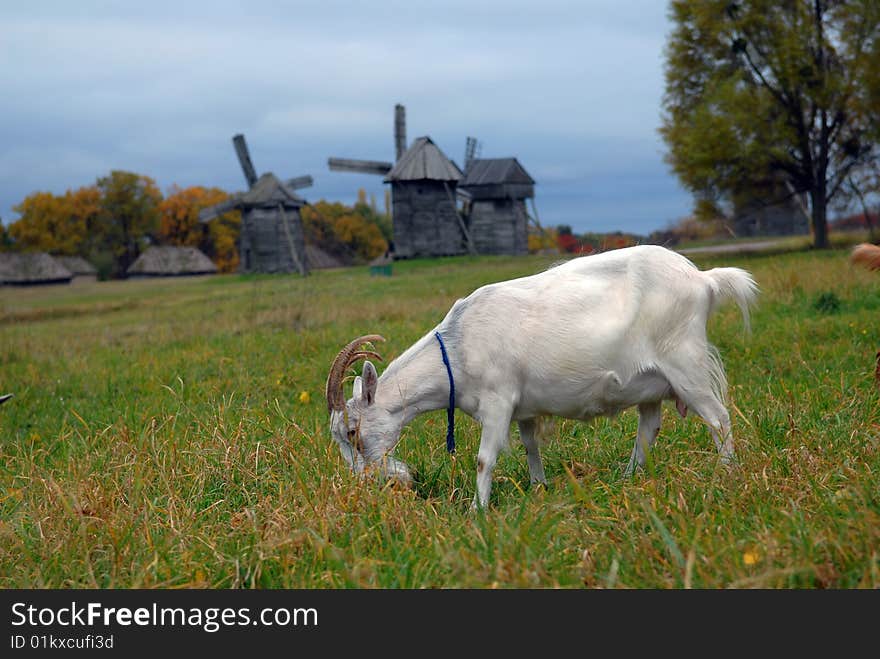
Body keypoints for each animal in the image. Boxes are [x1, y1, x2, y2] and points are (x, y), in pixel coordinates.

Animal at [324, 245, 756, 508]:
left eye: (352, 431)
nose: (365, 484)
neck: (459, 348)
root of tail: (704, 279)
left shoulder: (498, 401)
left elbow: (484, 459)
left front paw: (477, 511)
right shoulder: (525, 409)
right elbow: (531, 446)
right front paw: (538, 487)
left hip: (685, 363)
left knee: (718, 418)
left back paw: (725, 476)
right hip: (651, 383)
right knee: (648, 428)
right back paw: (628, 477)